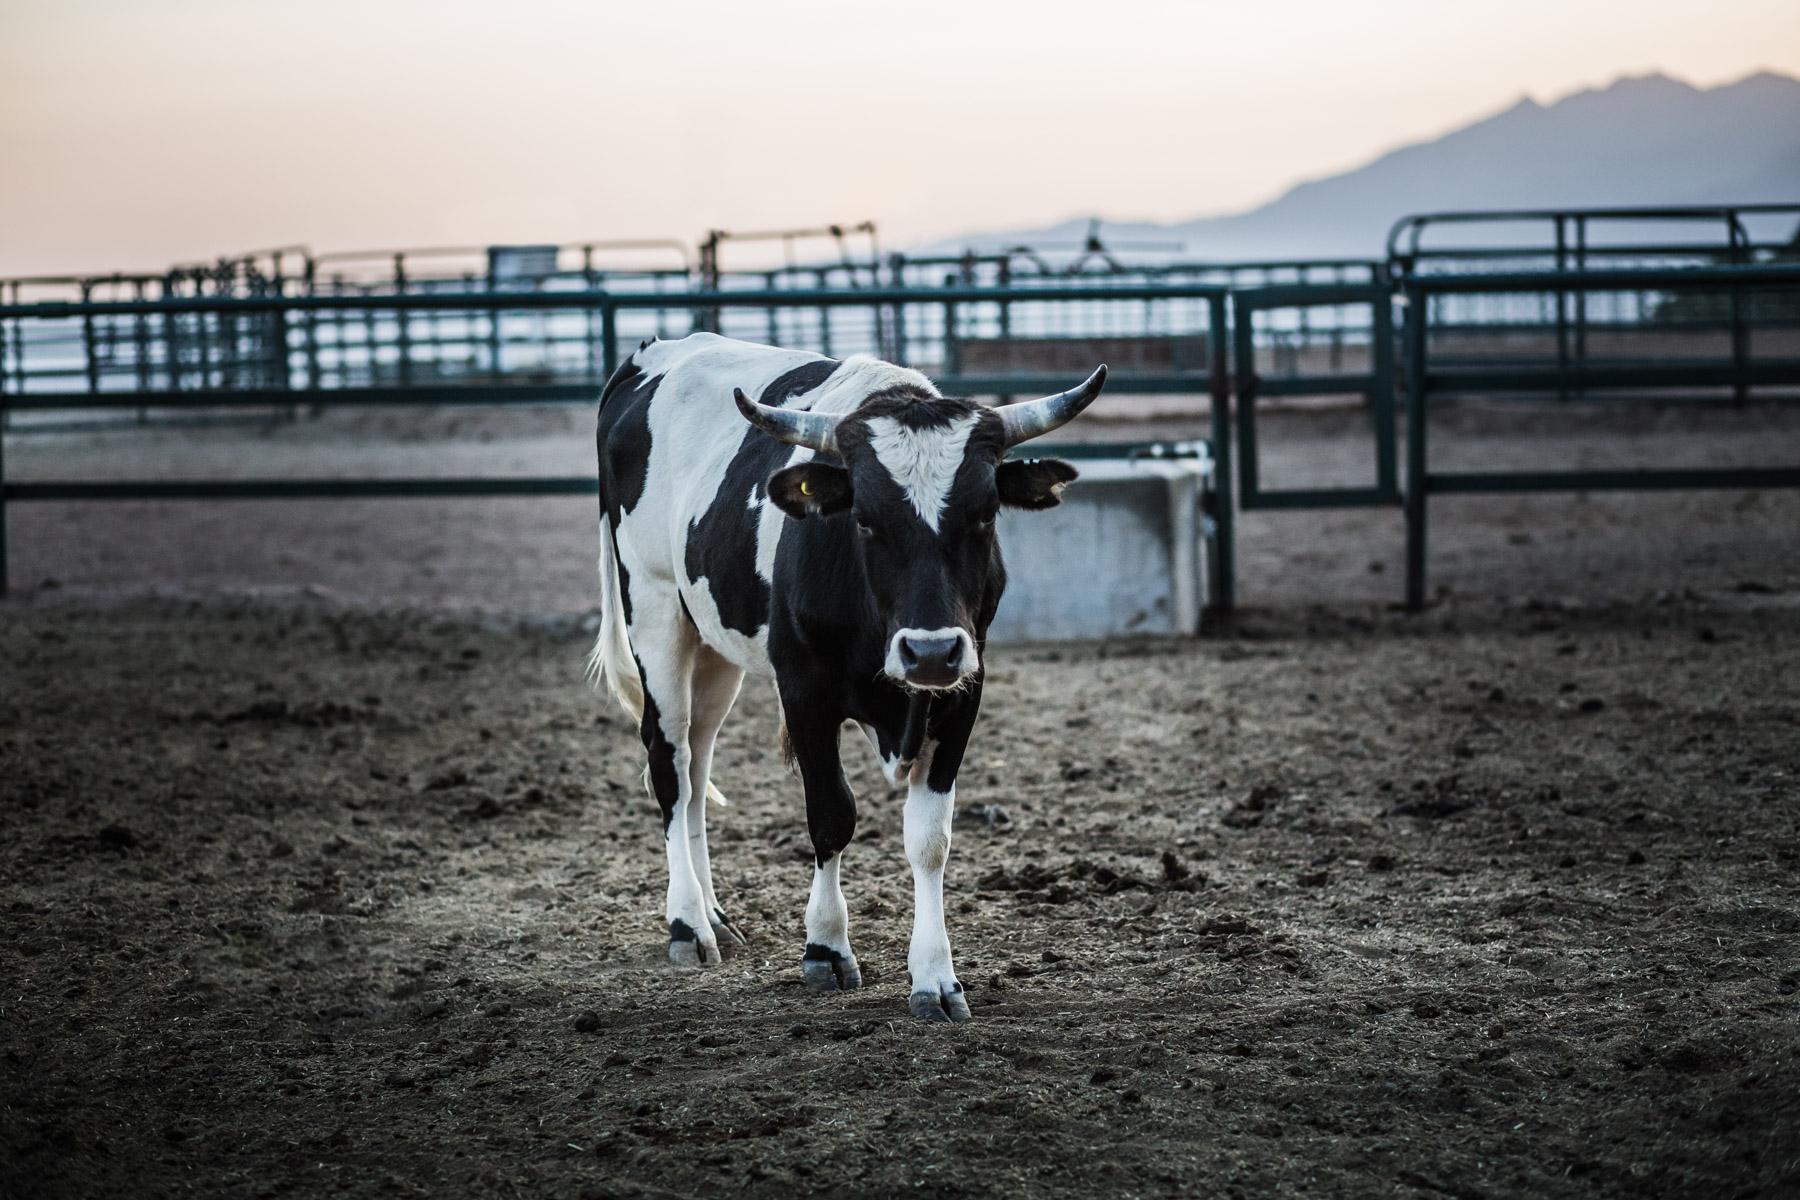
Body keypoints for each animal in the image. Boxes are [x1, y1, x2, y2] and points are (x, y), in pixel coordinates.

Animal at [590, 331, 1101, 1021]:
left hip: (714, 645)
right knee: (668, 764)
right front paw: (826, 948)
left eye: (986, 513)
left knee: (696, 766)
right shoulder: (804, 692)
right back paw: (689, 925)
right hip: (655, 611)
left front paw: (936, 977)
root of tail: (650, 353)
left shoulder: (964, 693)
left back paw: (715, 913)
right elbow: (831, 814)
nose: (930, 652)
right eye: (864, 520)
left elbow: (930, 839)